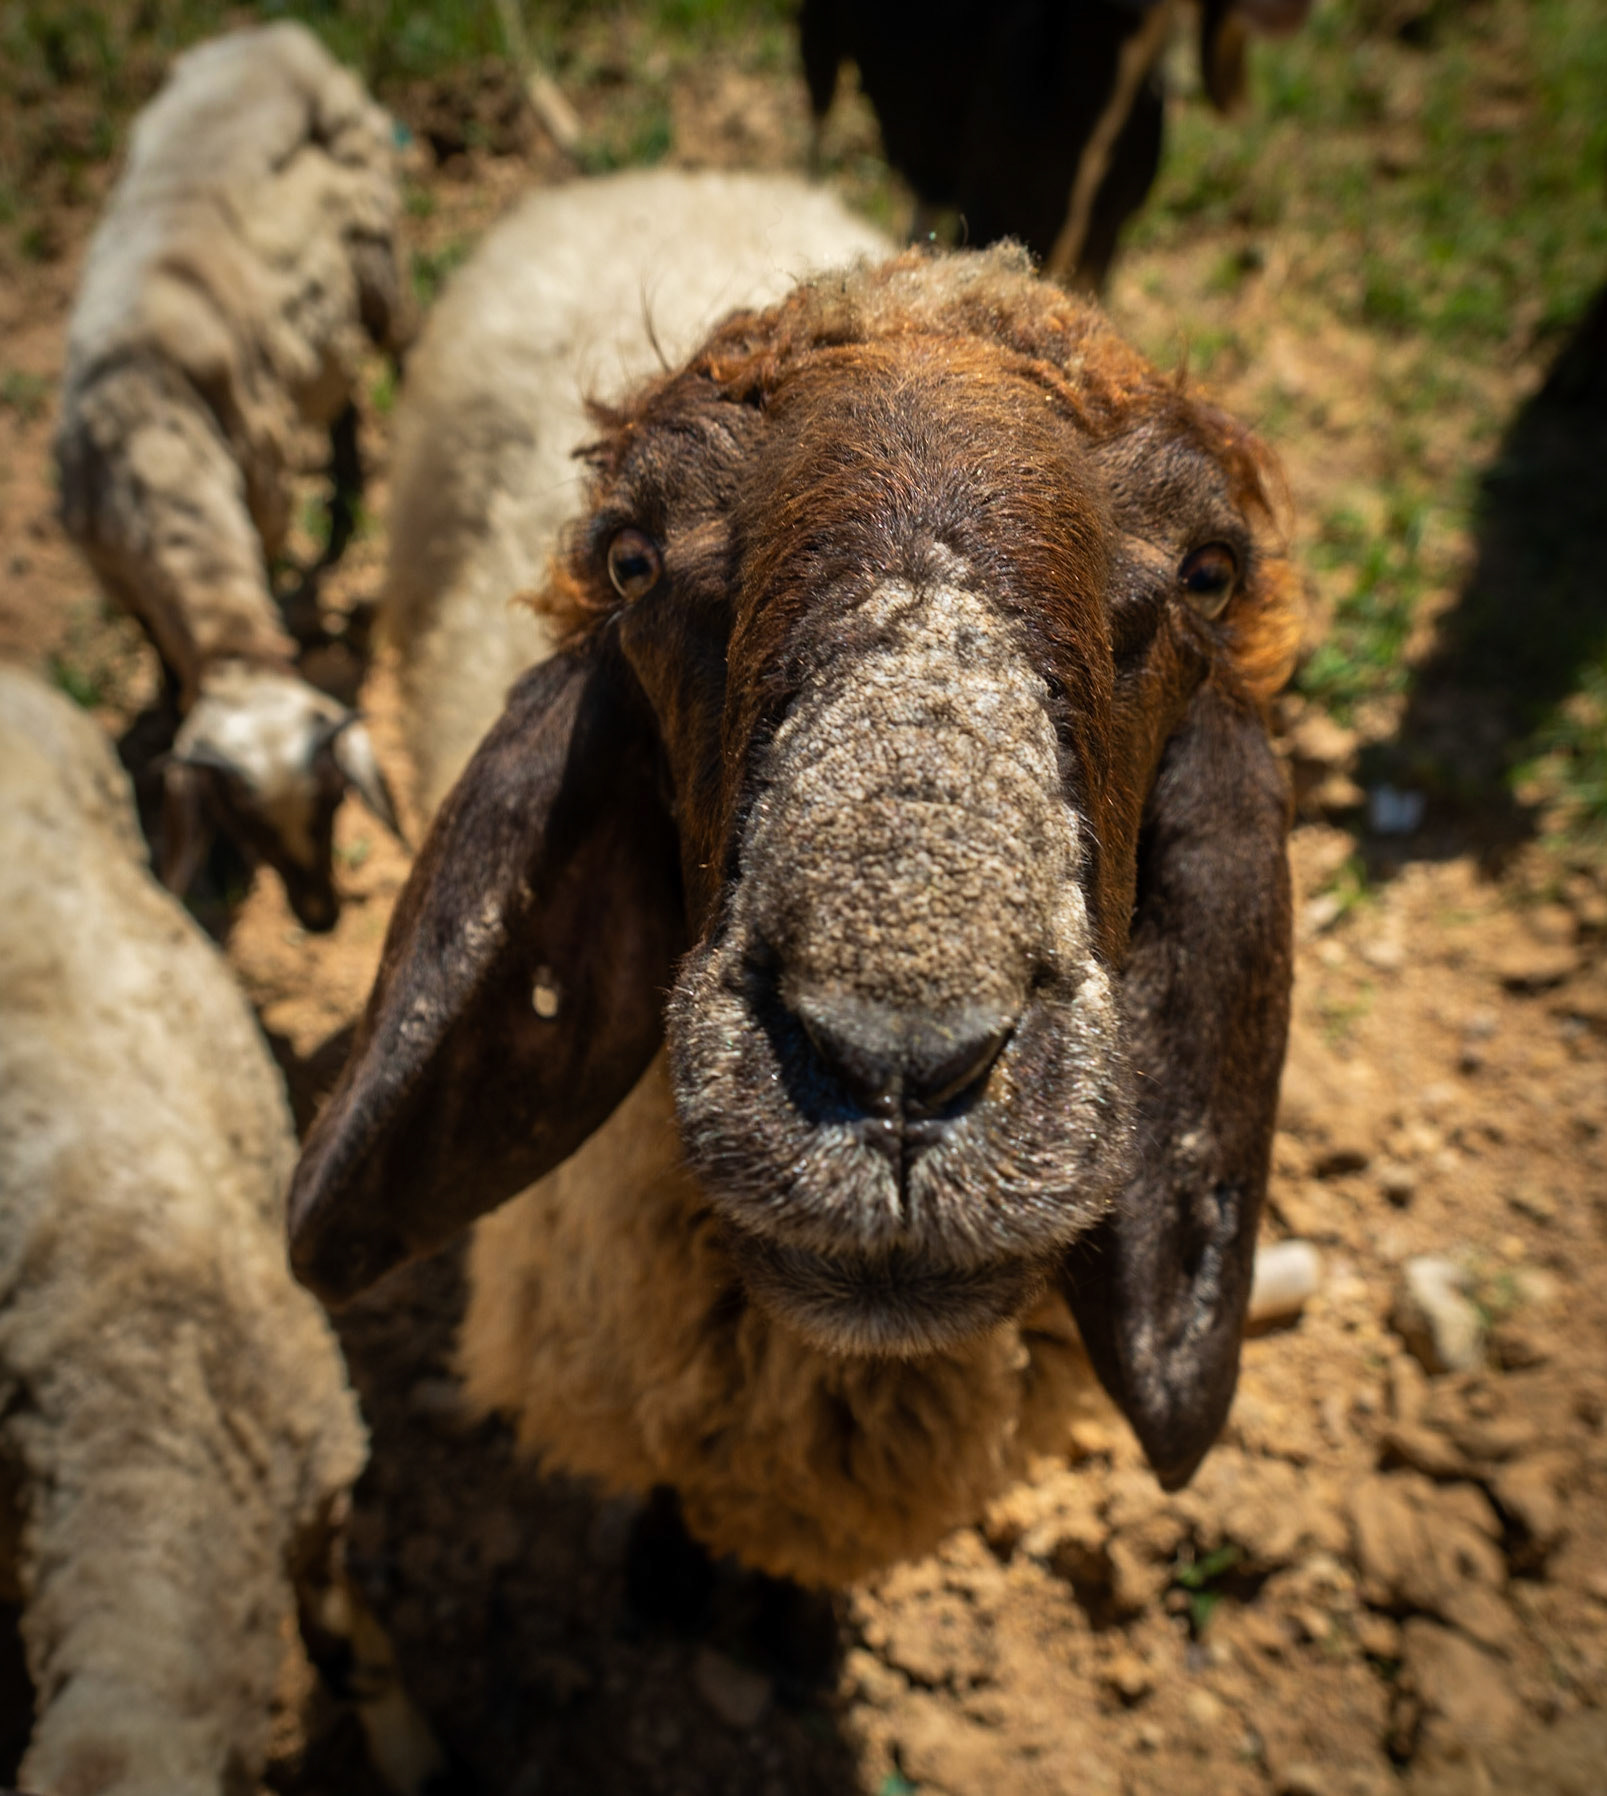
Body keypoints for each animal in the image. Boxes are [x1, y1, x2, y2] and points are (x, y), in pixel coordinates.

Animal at [55, 22, 408, 932]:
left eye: (333, 802)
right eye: (238, 823)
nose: (320, 917)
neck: (150, 437)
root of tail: (272, 35)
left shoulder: (261, 504)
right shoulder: (116, 575)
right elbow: (162, 657)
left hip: (379, 268)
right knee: (343, 398)